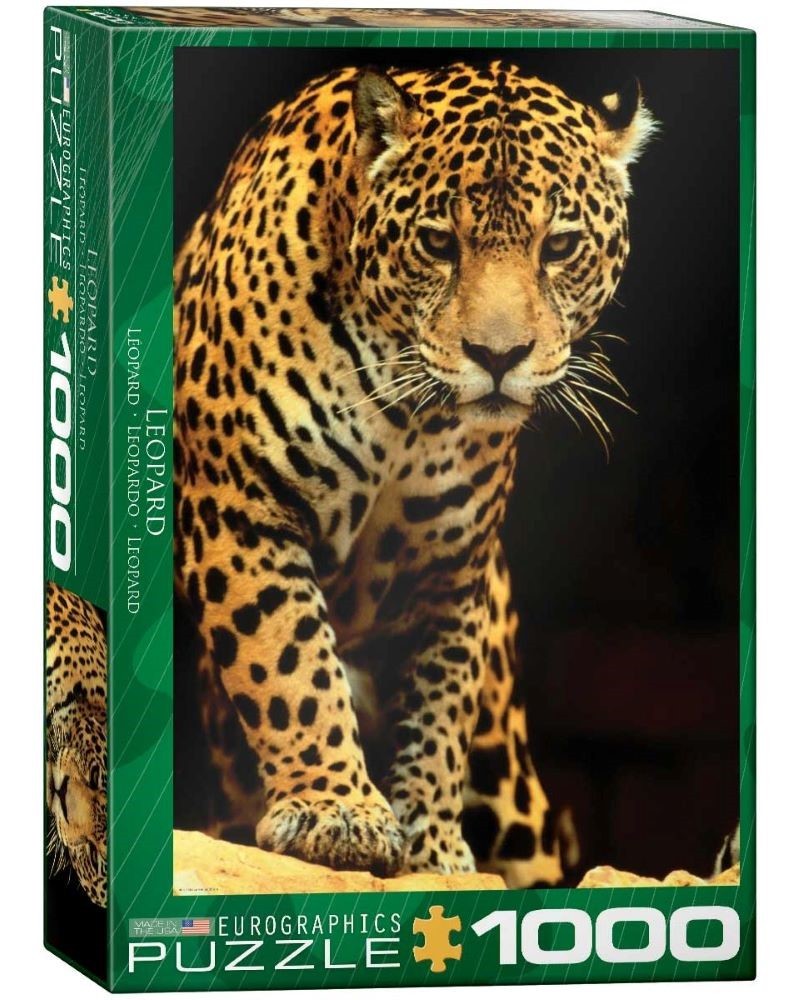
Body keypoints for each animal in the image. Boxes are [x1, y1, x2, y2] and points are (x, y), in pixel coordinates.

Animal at [174, 59, 655, 887]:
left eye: (559, 246)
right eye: (436, 242)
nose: (498, 357)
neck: (407, 412)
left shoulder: (450, 562)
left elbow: (438, 703)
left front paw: (431, 843)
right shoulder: (240, 506)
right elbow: (291, 662)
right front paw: (338, 812)